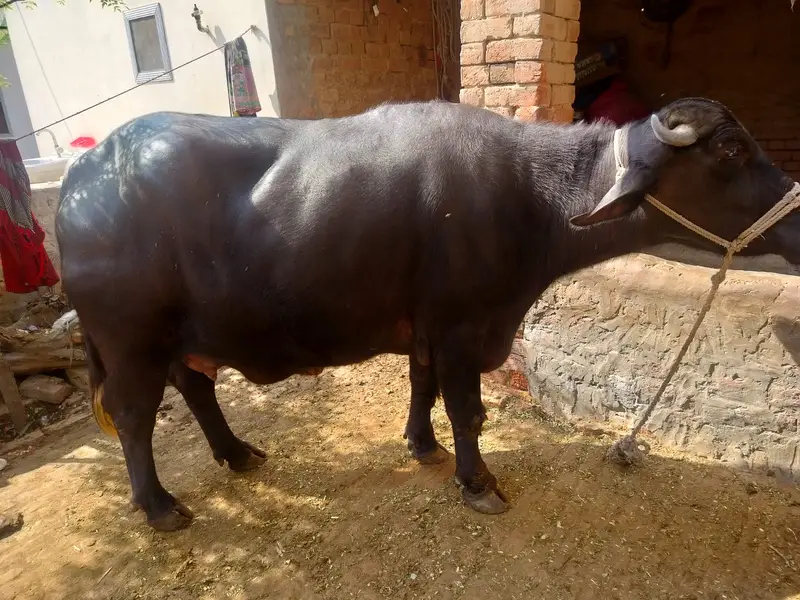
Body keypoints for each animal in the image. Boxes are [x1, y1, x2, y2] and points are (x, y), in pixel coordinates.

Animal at [56, 97, 800, 532]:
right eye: (731, 150)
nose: (796, 209)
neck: (532, 197)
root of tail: (82, 181)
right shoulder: (463, 325)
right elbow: (467, 407)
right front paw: (479, 482)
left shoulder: (425, 327)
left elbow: (423, 386)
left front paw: (422, 446)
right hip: (131, 342)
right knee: (133, 418)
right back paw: (160, 507)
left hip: (180, 337)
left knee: (198, 387)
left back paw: (238, 453)